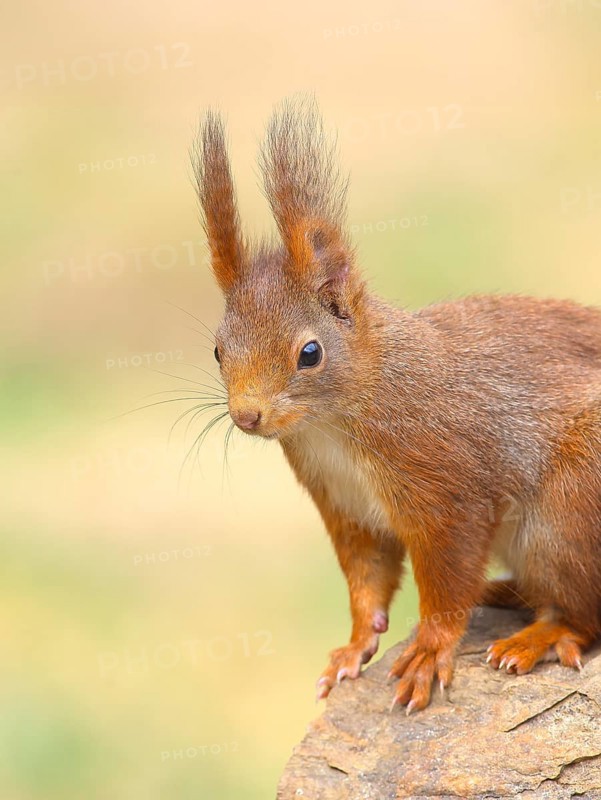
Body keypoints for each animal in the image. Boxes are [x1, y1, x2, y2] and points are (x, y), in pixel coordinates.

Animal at [191, 97, 601, 713]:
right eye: (218, 349)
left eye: (309, 353)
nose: (247, 416)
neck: (333, 425)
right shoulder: (346, 506)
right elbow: (368, 581)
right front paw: (354, 646)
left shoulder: (447, 488)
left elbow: (448, 582)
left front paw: (430, 651)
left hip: (570, 513)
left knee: (584, 610)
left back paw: (540, 635)